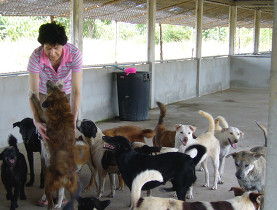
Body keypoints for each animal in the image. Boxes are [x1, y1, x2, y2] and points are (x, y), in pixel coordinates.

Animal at [29, 80, 77, 208]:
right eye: (53, 87)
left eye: (50, 88)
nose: (48, 81)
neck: (60, 106)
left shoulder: (43, 117)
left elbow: (38, 106)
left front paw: (32, 95)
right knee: (61, 194)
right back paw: (59, 204)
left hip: (48, 183)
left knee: (50, 197)